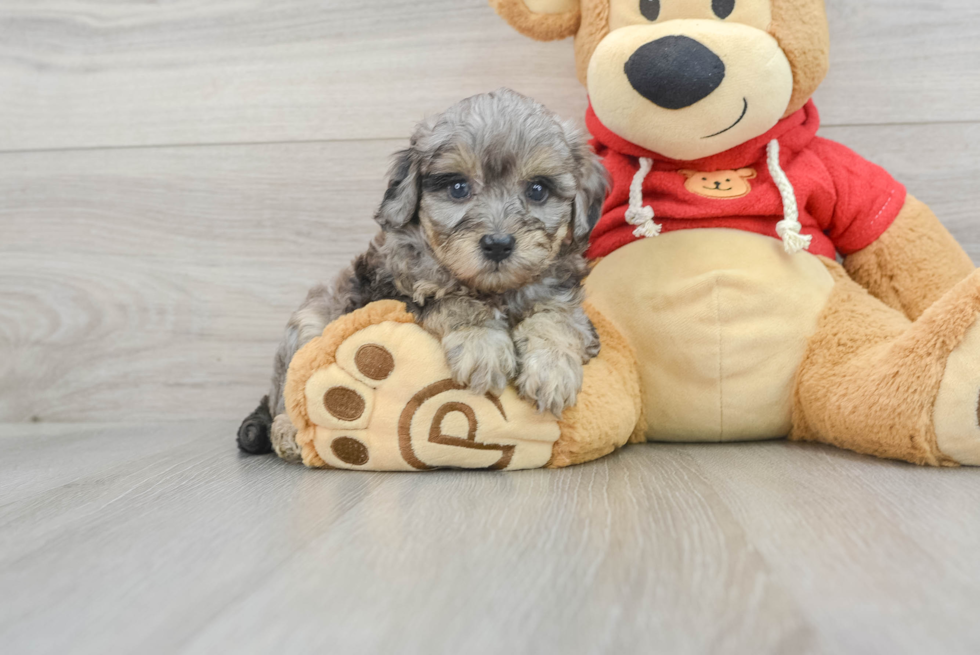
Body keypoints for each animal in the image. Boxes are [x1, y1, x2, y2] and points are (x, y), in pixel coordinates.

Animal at [237, 87, 604, 456]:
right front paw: (482, 344)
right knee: (288, 389)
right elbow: (452, 301)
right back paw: (287, 431)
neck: (491, 290)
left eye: (538, 190)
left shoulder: (565, 299)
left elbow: (556, 319)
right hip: (309, 322)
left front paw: (552, 368)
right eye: (458, 188)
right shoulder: (397, 292)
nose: (498, 244)